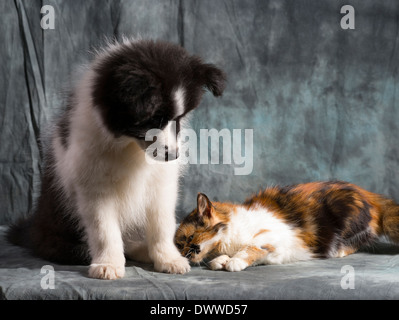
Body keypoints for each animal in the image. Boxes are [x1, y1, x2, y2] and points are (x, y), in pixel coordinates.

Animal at [7, 37, 227, 278]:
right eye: (155, 119)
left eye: (179, 119)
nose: (173, 155)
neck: (129, 146)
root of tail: (33, 230)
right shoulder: (95, 186)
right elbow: (104, 229)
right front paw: (108, 264)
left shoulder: (161, 183)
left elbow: (162, 224)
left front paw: (169, 259)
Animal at [175, 181, 399, 272]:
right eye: (178, 246)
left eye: (189, 239)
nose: (183, 254)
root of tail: (370, 196)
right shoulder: (276, 253)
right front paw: (221, 260)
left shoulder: (275, 235)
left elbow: (251, 247)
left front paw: (233, 261)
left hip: (345, 212)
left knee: (360, 238)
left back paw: (339, 251)